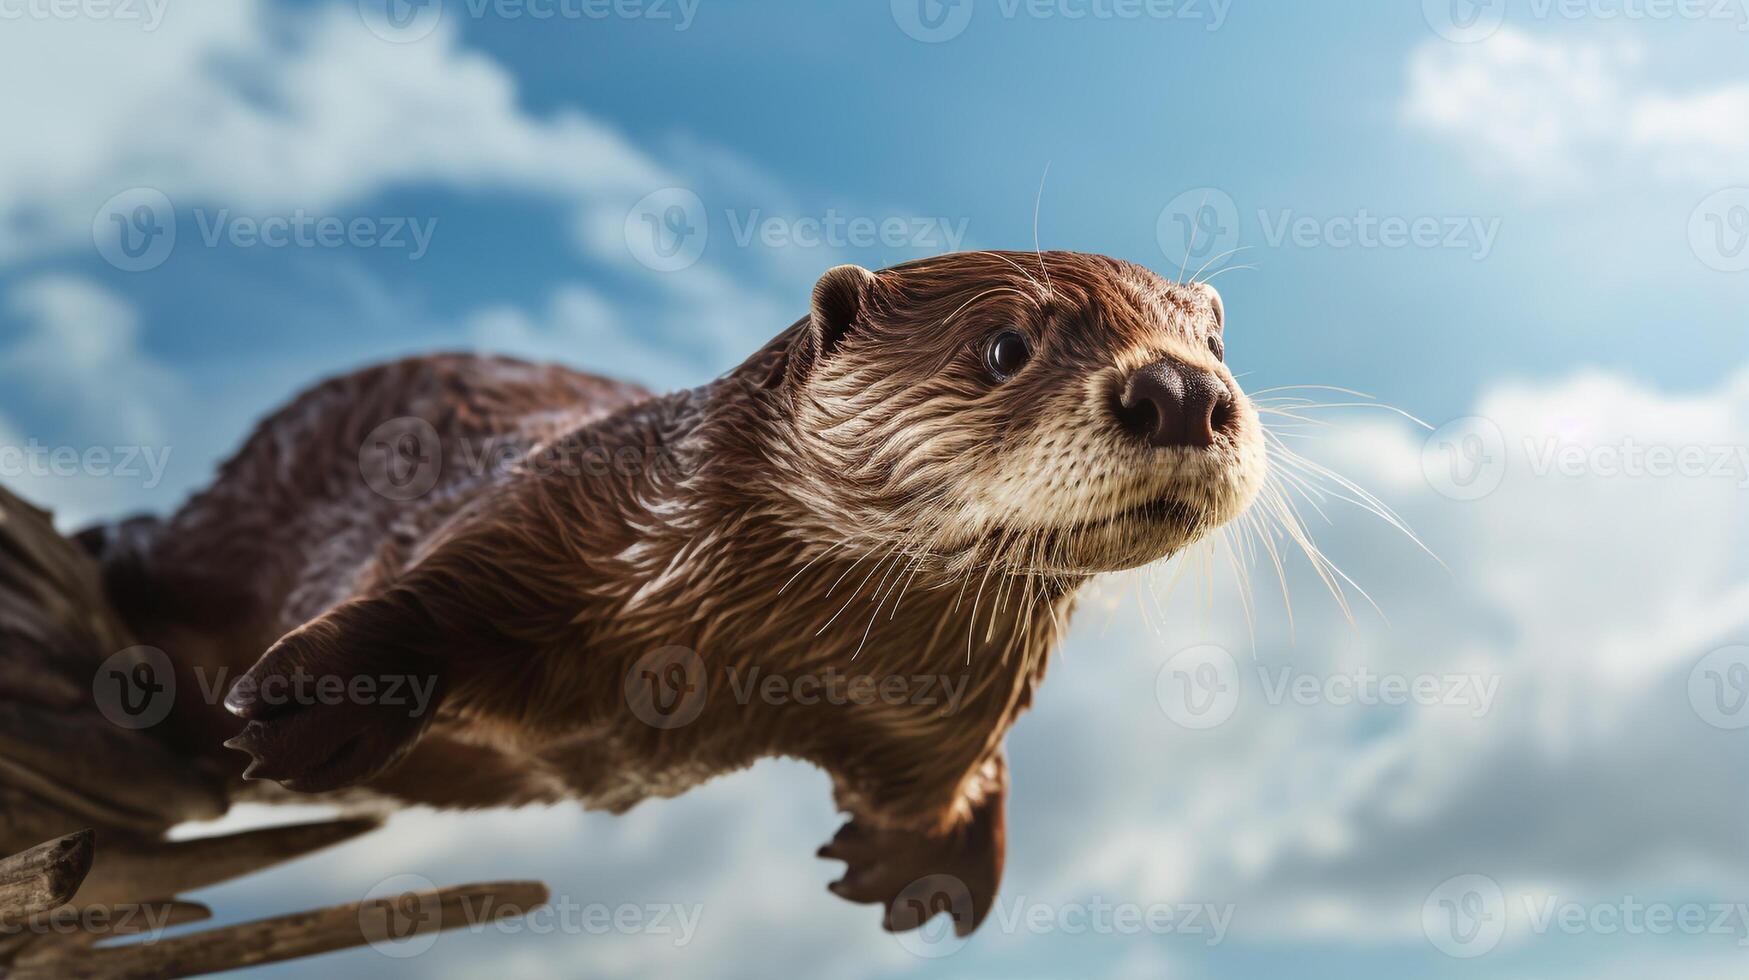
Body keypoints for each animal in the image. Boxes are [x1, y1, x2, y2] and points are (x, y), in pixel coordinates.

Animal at [92, 250, 1259, 931]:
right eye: (1006, 343)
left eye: (1215, 341)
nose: (1182, 390)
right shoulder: (550, 505)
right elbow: (439, 587)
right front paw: (317, 700)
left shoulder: (943, 692)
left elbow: (936, 765)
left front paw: (923, 856)